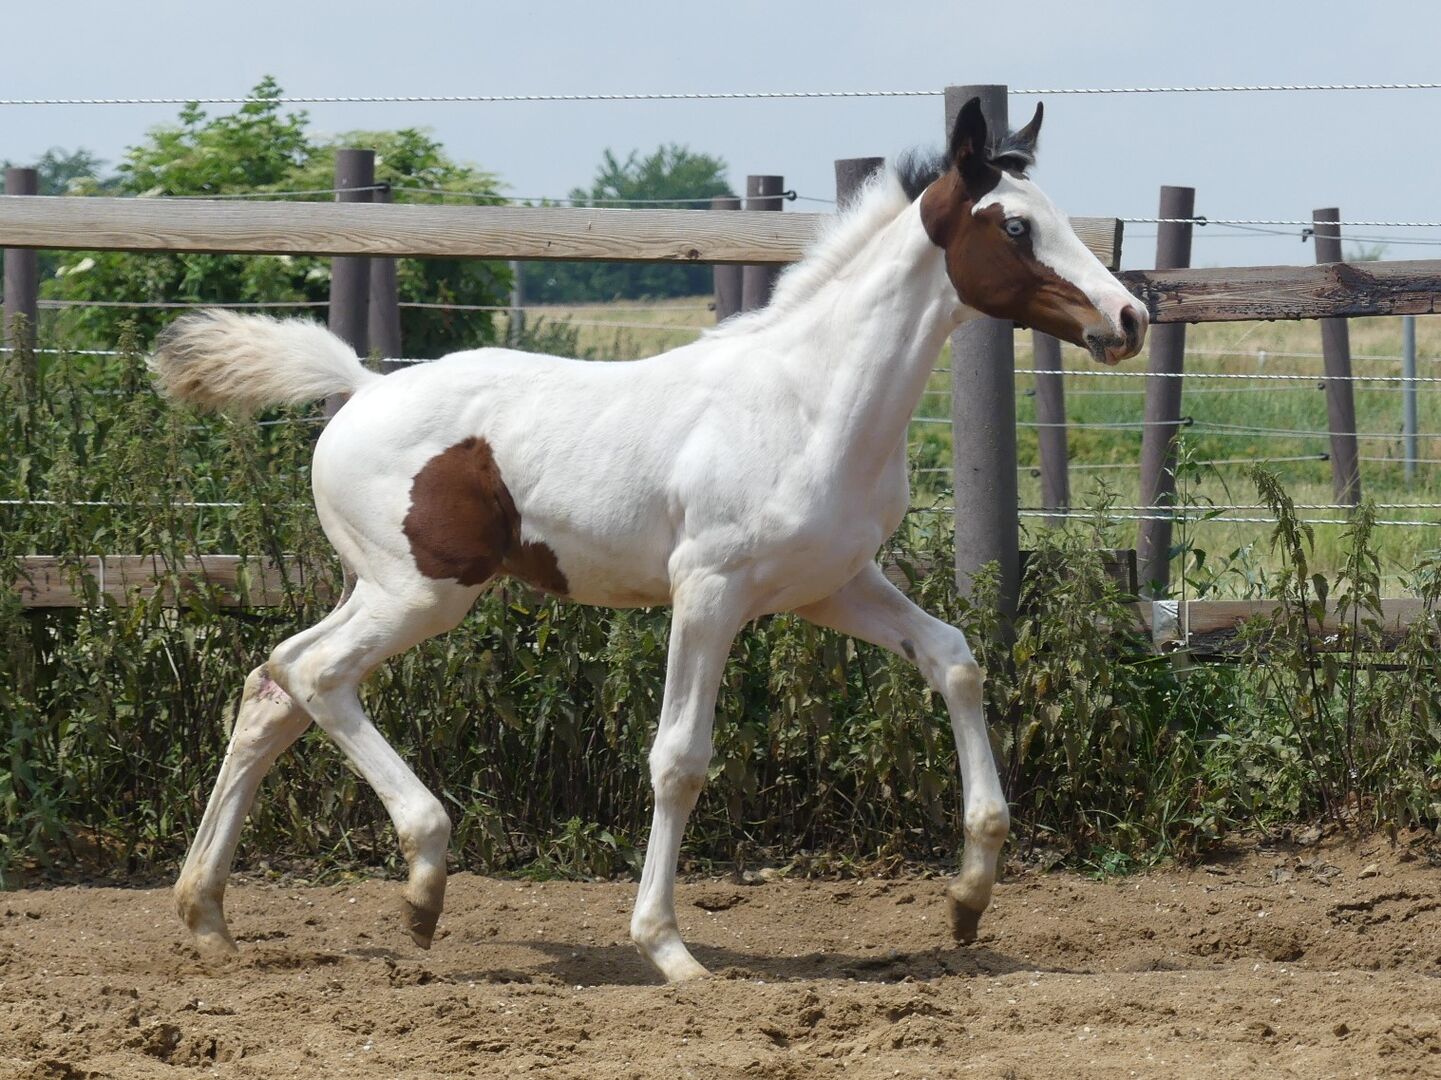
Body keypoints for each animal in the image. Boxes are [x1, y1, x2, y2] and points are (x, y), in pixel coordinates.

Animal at [152, 98, 1147, 983]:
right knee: (317, 675)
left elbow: (955, 660)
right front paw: (667, 949)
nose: (1129, 318)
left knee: (273, 684)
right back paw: (422, 881)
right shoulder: (709, 591)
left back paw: (208, 919)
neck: (809, 401)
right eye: (1014, 225)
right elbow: (678, 762)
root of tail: (359, 386)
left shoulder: (832, 584)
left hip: (383, 588)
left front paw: (969, 897)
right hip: (424, 592)